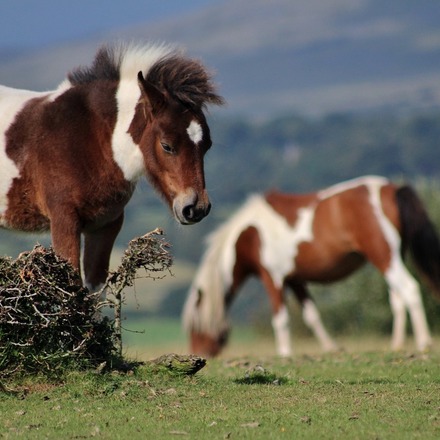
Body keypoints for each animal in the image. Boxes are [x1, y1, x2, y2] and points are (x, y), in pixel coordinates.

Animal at [0, 43, 223, 290]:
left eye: (207, 145)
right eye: (166, 145)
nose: (196, 208)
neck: (91, 138)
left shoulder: (105, 225)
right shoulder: (64, 220)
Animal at [184, 176, 440, 358]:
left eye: (194, 326)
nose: (199, 354)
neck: (251, 234)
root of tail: (392, 189)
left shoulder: (272, 278)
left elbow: (281, 318)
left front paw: (284, 353)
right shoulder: (295, 279)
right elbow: (312, 316)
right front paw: (331, 348)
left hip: (384, 257)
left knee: (410, 289)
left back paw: (424, 342)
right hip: (392, 258)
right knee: (397, 299)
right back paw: (396, 345)